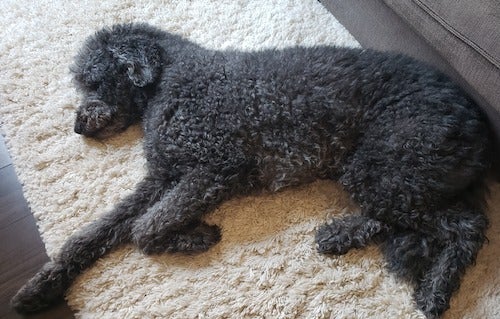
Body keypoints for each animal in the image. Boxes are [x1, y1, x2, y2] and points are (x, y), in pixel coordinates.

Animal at [10, 22, 492, 318]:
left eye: (94, 81)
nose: (77, 126)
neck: (172, 79)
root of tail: (480, 126)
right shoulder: (162, 176)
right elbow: (94, 234)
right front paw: (43, 286)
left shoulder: (214, 169)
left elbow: (144, 229)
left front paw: (197, 236)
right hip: (387, 174)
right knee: (406, 217)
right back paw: (340, 235)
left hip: (386, 165)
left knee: (467, 225)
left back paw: (435, 290)